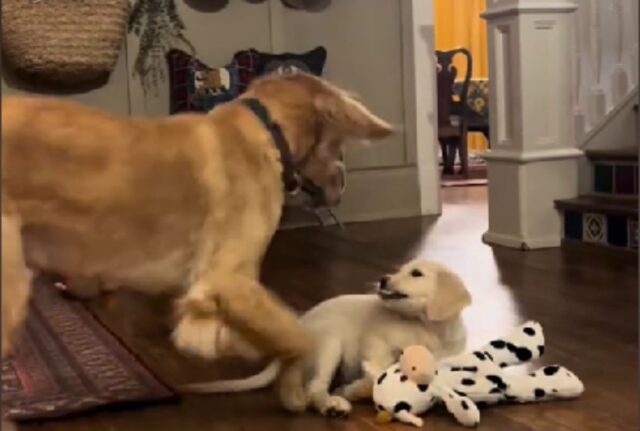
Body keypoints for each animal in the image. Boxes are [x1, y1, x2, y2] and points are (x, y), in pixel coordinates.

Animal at [0, 73, 392, 412]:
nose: (343, 184)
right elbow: (300, 336)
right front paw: (294, 392)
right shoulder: (231, 278)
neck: (267, 130)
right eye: (339, 146)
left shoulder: (210, 293)